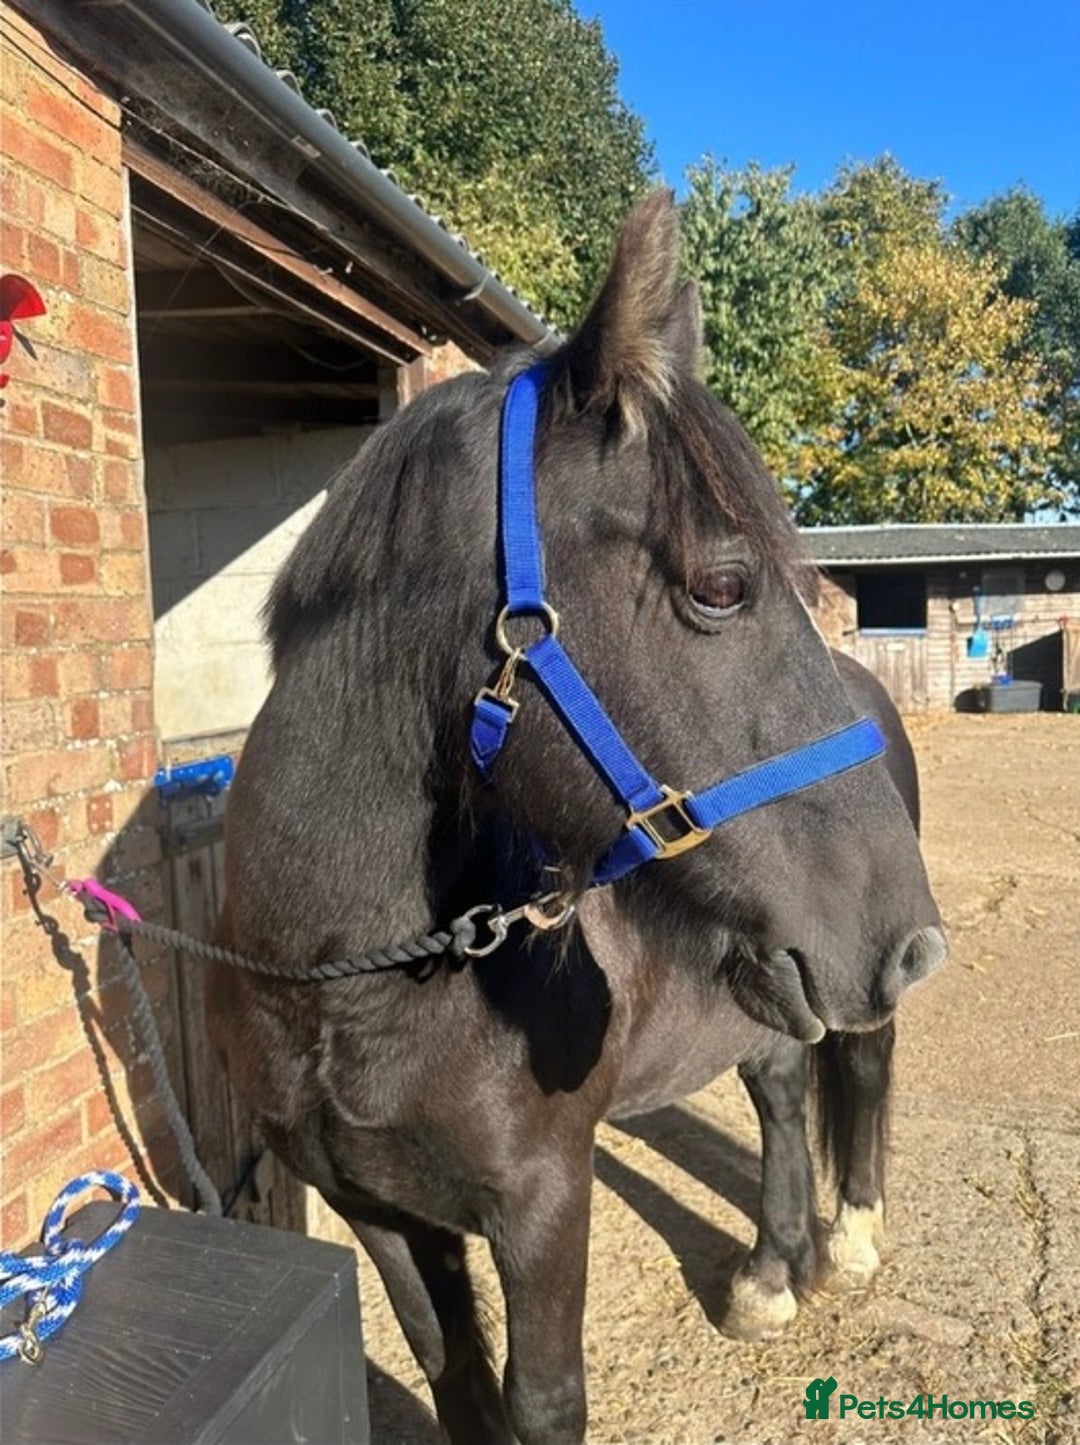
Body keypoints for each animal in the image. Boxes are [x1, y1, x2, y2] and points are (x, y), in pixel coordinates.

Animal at [210, 191, 945, 1445]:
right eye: (721, 586)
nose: (909, 940)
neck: (348, 985)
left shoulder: (545, 1202)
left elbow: (540, 1396)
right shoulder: (382, 1214)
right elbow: (454, 1374)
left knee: (863, 1065)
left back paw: (848, 1235)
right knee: (780, 1087)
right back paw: (769, 1273)